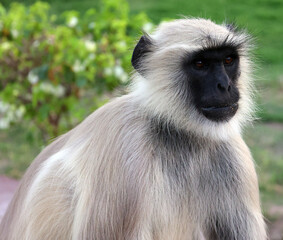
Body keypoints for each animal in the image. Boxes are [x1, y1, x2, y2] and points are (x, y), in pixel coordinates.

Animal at [0, 18, 268, 240]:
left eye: (228, 60)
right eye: (200, 64)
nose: (225, 85)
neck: (180, 134)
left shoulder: (232, 151)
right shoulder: (125, 146)